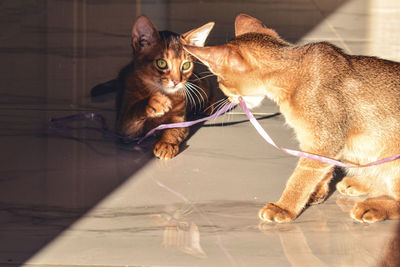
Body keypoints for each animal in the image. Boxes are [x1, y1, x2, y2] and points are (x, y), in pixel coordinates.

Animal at [112, 16, 214, 159]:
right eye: (161, 63)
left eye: (186, 65)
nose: (177, 81)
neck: (159, 90)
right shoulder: (123, 130)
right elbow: (133, 112)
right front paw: (154, 102)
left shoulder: (179, 120)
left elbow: (174, 130)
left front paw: (166, 144)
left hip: (199, 86)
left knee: (209, 86)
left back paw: (207, 106)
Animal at [184, 14, 400, 224]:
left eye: (220, 80)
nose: (226, 98)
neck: (292, 77)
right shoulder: (316, 143)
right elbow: (321, 170)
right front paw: (317, 192)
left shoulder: (323, 141)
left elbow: (301, 177)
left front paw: (285, 207)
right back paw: (360, 183)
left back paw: (372, 207)